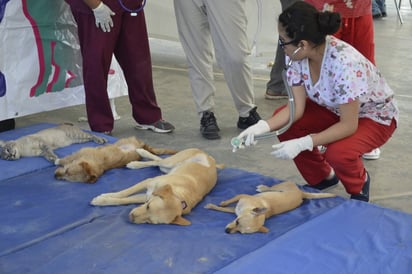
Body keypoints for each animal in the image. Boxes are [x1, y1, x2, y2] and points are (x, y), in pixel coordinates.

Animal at [91, 149, 224, 226]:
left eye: (150, 222)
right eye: (148, 206)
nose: (131, 218)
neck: (178, 195)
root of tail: (210, 158)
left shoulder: (146, 196)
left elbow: (125, 200)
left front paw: (103, 200)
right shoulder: (148, 182)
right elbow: (124, 193)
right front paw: (103, 198)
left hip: (166, 168)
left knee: (158, 161)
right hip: (170, 163)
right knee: (158, 161)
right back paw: (137, 159)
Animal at [204, 182, 336, 233]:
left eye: (240, 232)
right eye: (237, 221)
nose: (226, 231)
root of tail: (301, 193)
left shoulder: (236, 208)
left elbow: (225, 209)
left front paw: (212, 206)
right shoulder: (240, 197)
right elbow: (227, 204)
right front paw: (221, 203)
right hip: (279, 186)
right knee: (271, 187)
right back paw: (263, 187)